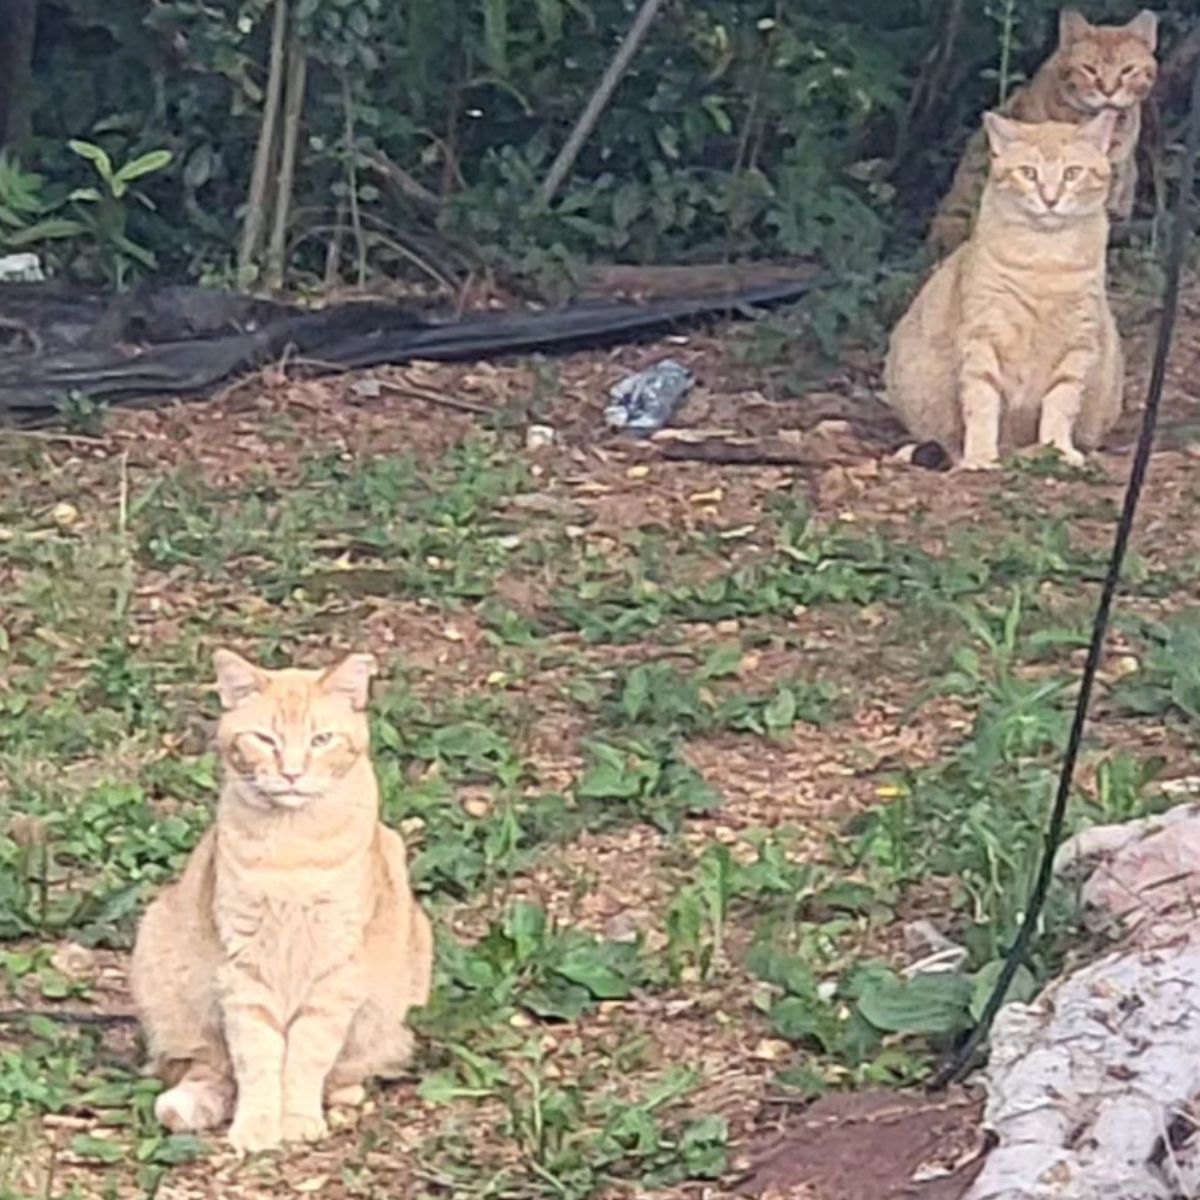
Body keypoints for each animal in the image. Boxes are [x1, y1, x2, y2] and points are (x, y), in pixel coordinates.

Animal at [130, 652, 432, 1156]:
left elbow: (307, 1056)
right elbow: (257, 1058)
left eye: (321, 739)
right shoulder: (244, 970)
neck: (292, 851)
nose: (291, 773)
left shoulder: (333, 972)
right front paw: (257, 1125)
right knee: (208, 1065)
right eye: (265, 739)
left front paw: (297, 1119)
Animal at [883, 110, 1123, 470]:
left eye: (1072, 173)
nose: (1050, 199)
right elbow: (982, 402)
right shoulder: (983, 336)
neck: (1045, 258)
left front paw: (1058, 448)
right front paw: (981, 455)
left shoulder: (1078, 342)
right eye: (1028, 173)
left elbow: (1061, 402)